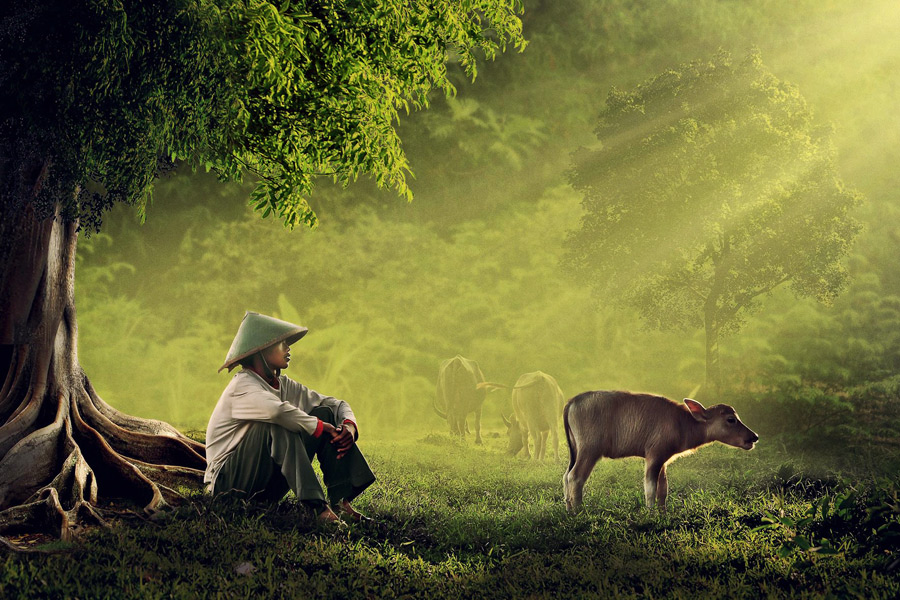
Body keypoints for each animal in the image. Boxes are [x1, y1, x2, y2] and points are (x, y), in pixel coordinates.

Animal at [568, 392, 756, 512]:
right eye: (731, 420)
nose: (754, 437)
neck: (683, 423)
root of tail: (573, 401)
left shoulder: (664, 461)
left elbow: (663, 489)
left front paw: (663, 513)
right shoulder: (654, 456)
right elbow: (650, 487)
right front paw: (651, 513)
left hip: (576, 451)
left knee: (566, 475)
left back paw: (568, 508)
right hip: (589, 450)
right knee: (575, 477)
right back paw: (579, 511)